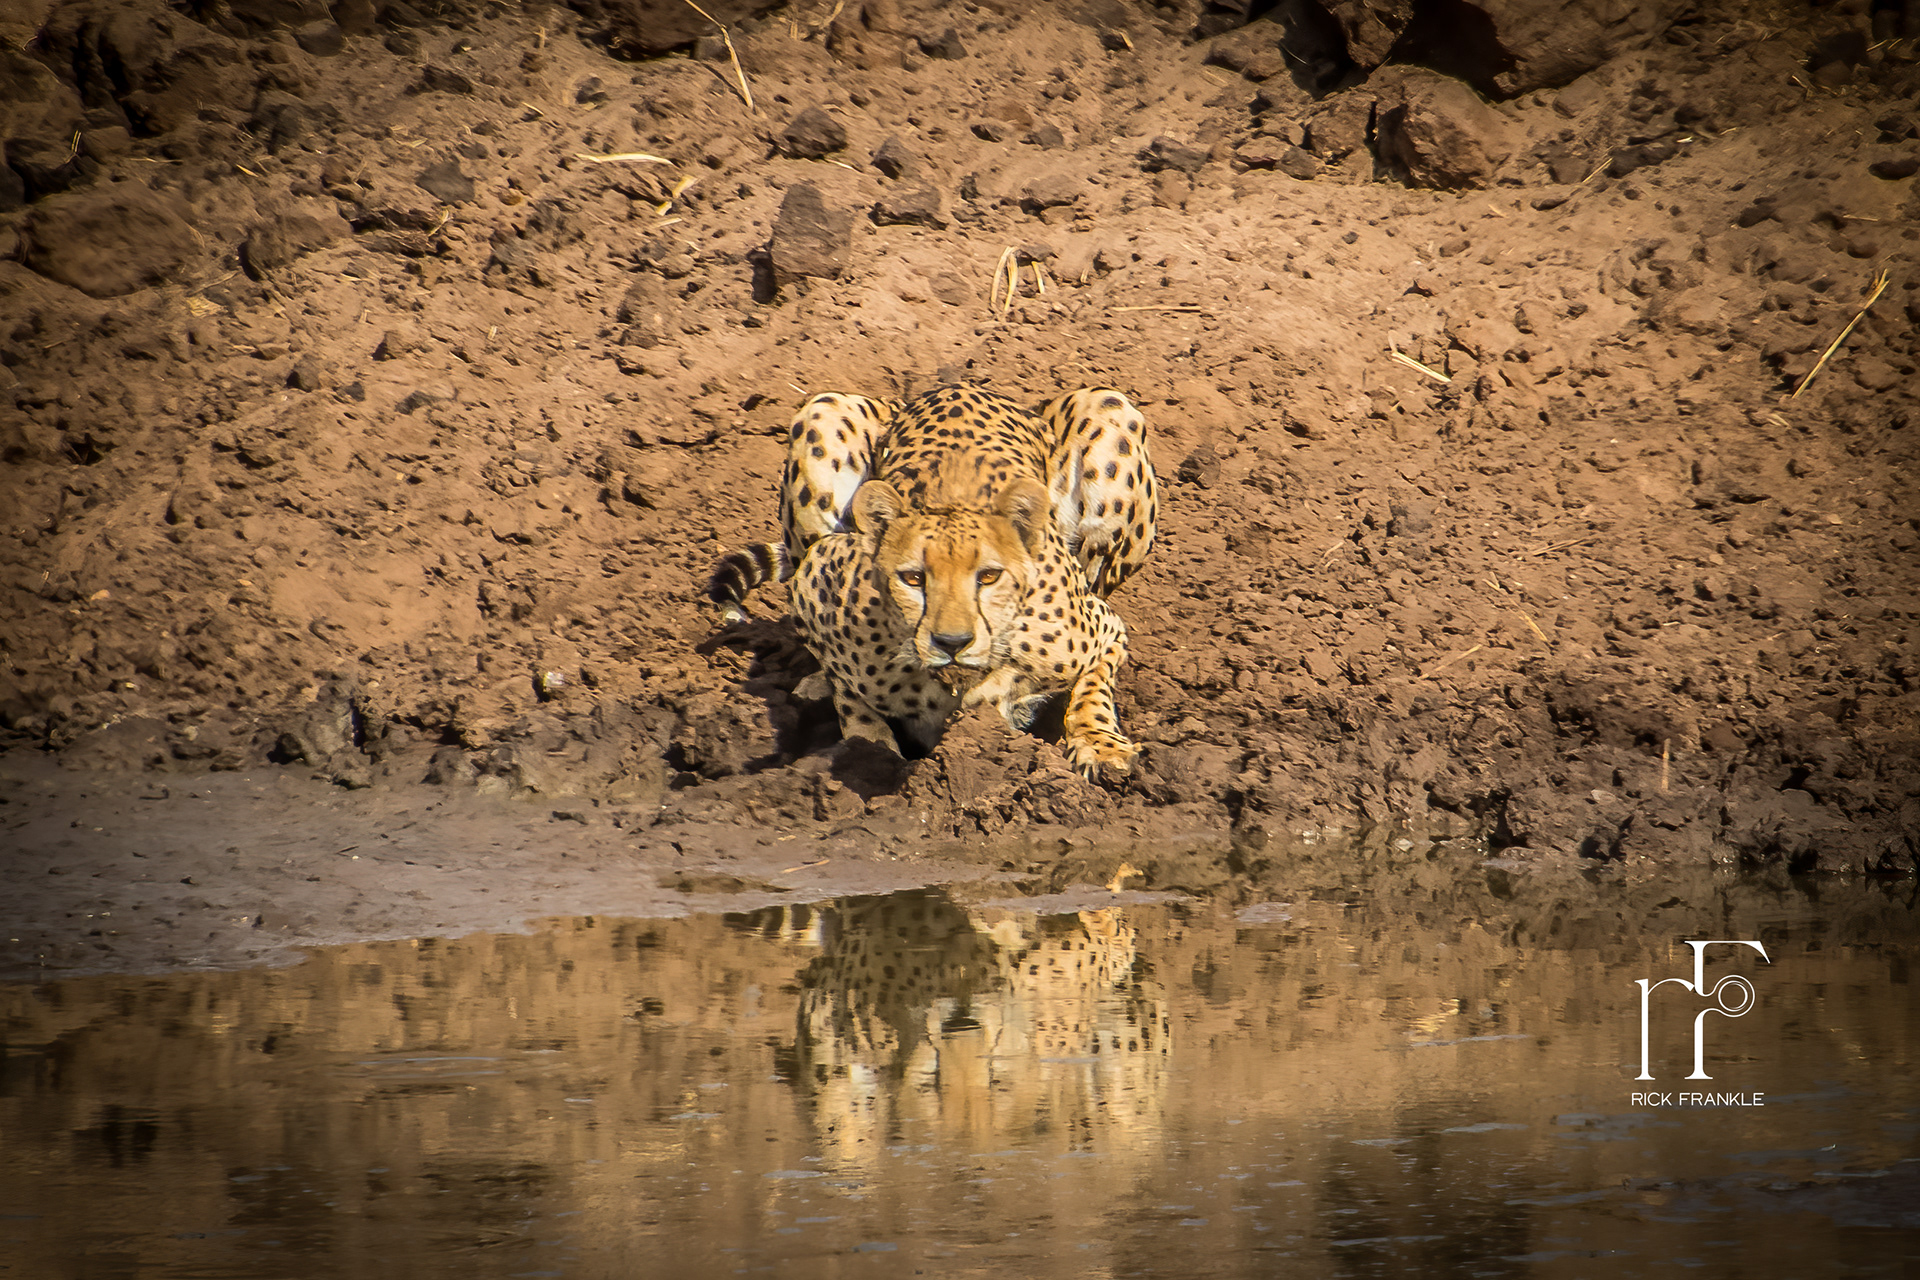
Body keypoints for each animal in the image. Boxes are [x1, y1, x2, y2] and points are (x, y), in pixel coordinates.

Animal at [706, 384, 1158, 781]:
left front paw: (1099, 744)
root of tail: (963, 385)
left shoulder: (1104, 629)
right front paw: (870, 752)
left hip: (1109, 409)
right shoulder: (816, 582)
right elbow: (850, 694)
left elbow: (1092, 688)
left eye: (989, 576)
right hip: (823, 413)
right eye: (913, 578)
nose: (952, 642)